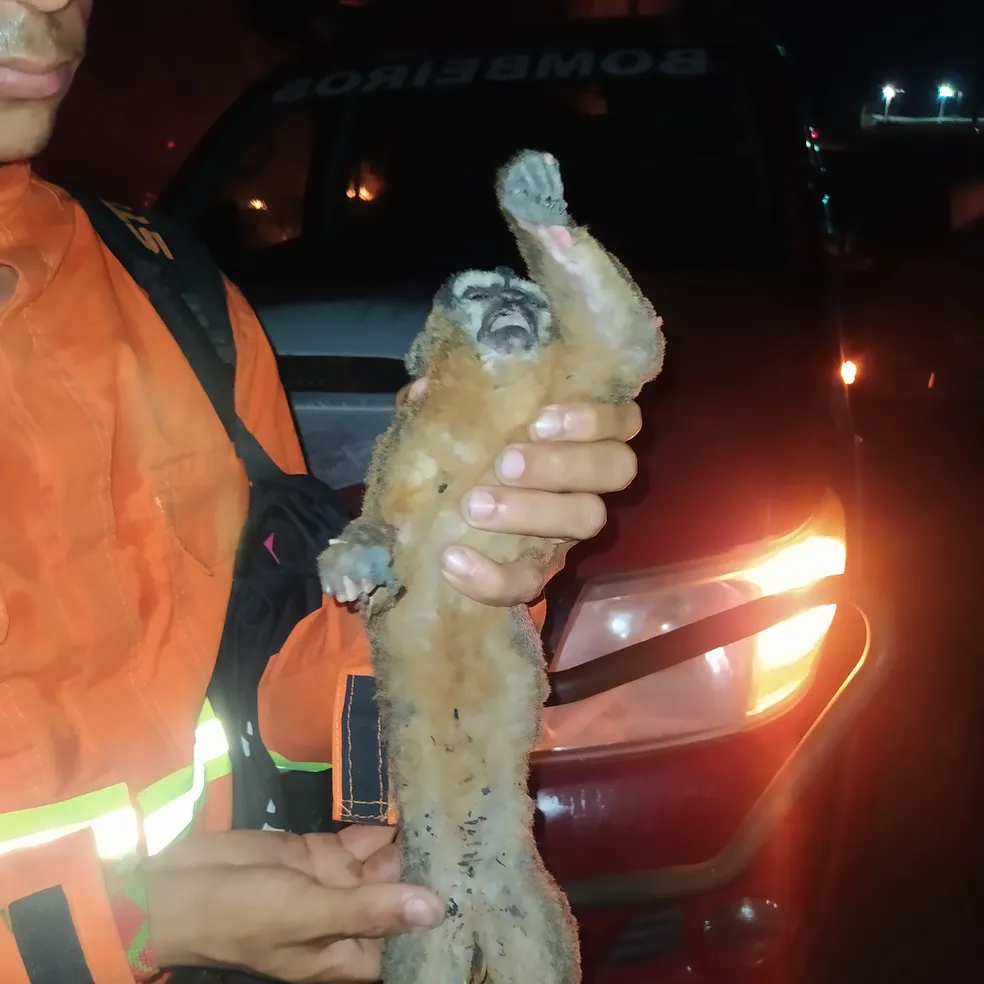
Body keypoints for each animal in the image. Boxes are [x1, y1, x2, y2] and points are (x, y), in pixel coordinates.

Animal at [317, 149, 665, 984]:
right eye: (479, 294)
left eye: (527, 298)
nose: (510, 308)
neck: (488, 399)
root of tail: (471, 899)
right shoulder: (405, 447)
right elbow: (381, 537)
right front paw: (361, 557)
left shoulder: (574, 386)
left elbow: (627, 344)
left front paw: (538, 213)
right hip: (419, 925)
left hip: (533, 915)